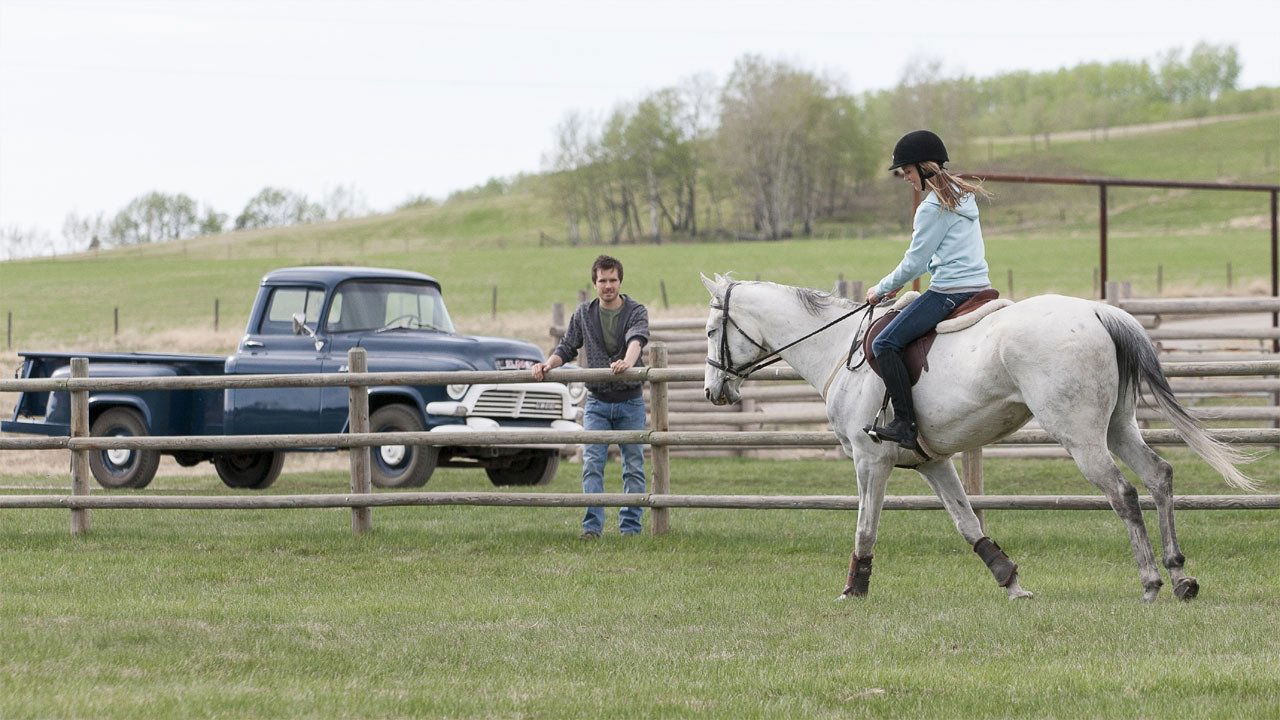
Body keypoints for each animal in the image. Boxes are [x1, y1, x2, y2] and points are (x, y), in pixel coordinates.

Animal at [701, 274, 1249, 599]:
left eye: (710, 331)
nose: (712, 390)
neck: (839, 348)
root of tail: (1097, 312)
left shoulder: (869, 461)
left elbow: (865, 528)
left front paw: (853, 589)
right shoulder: (932, 462)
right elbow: (967, 523)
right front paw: (1010, 581)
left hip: (1080, 436)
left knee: (1124, 494)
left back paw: (1151, 581)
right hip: (1117, 427)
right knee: (1159, 476)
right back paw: (1180, 576)